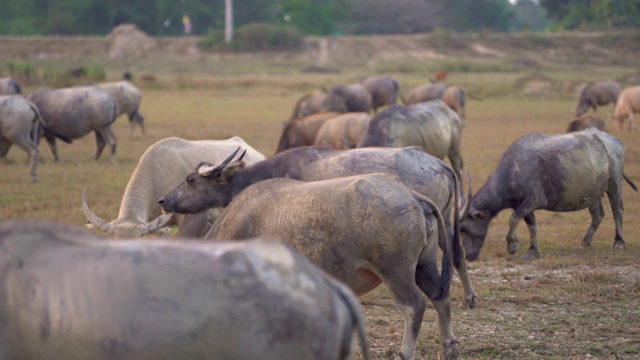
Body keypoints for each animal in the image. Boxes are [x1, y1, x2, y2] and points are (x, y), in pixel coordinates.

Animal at [159, 145, 480, 308]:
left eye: (190, 179)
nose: (164, 199)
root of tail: (437, 163)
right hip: (444, 220)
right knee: (457, 253)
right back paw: (469, 296)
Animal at [204, 173, 456, 358]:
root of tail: (411, 196)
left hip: (395, 271)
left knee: (414, 306)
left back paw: (405, 354)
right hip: (425, 266)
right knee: (441, 297)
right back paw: (448, 349)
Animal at [460, 129, 636, 262]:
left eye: (464, 228)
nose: (467, 256)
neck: (511, 172)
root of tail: (613, 140)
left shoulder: (533, 200)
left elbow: (513, 218)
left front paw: (513, 245)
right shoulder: (524, 206)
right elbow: (532, 226)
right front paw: (532, 251)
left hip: (614, 183)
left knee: (617, 210)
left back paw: (619, 242)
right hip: (594, 193)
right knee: (598, 214)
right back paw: (584, 242)